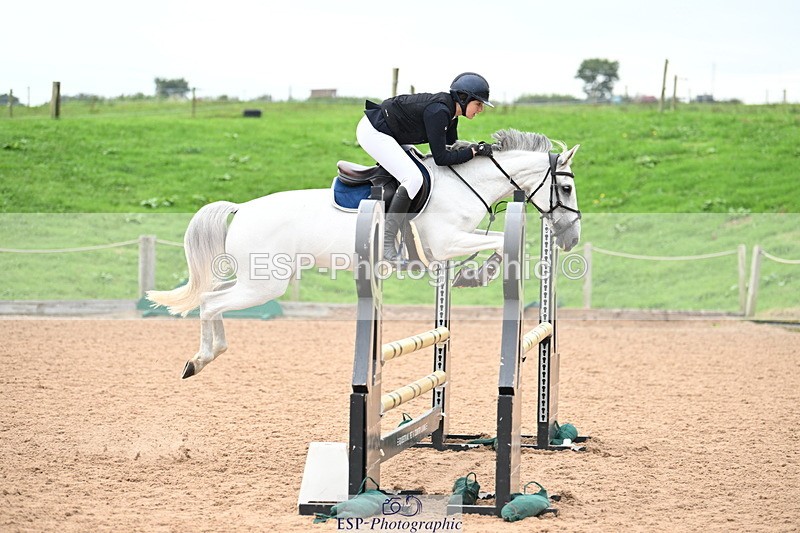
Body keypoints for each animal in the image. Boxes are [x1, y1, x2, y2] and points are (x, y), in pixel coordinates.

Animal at [147, 129, 581, 378]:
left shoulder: (453, 241)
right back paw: (201, 359)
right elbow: (497, 247)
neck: (464, 184)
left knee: (211, 299)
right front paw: (478, 274)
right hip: (264, 284)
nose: (572, 238)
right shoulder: (446, 242)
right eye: (566, 189)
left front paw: (471, 274)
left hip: (257, 282)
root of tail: (242, 208)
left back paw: (203, 357)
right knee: (210, 302)